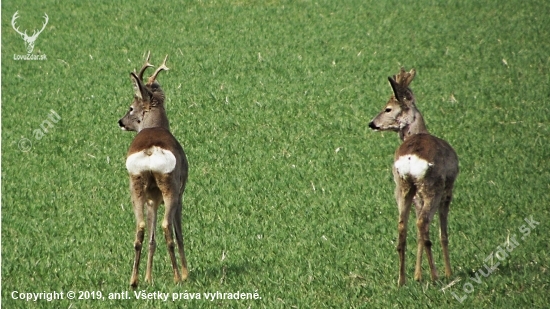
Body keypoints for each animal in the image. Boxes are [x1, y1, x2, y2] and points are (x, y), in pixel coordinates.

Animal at [118, 53, 190, 286]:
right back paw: (177, 277)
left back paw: (134, 280)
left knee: (140, 228)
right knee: (167, 227)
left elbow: (151, 239)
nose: (121, 121)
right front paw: (186, 273)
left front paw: (149, 277)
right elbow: (179, 233)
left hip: (136, 185)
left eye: (131, 107)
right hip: (170, 185)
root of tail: (150, 151)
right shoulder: (181, 191)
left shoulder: (152, 198)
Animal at [370, 68, 462, 286]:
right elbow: (443, 232)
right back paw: (436, 276)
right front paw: (448, 272)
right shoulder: (449, 187)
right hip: (432, 186)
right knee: (423, 223)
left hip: (402, 186)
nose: (372, 123)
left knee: (403, 226)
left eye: (387, 109)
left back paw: (402, 279)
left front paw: (417, 275)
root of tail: (411, 158)